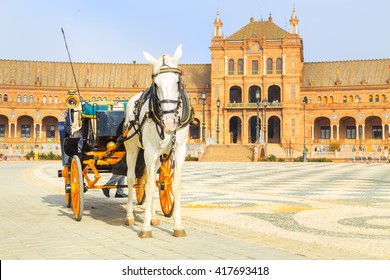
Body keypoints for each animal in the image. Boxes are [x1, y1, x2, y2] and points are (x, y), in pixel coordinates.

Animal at [122, 44, 189, 237]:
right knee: (132, 179)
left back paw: (153, 217)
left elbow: (174, 185)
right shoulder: (150, 150)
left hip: (159, 156)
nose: (169, 123)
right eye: (156, 84)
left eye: (177, 82)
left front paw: (178, 226)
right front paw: (145, 228)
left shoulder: (180, 150)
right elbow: (150, 186)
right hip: (132, 148)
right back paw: (130, 216)